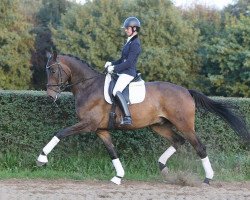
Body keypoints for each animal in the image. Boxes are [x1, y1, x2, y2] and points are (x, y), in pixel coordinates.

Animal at [36, 51, 249, 184]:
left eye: (52, 70)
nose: (50, 96)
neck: (88, 86)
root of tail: (186, 91)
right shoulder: (101, 129)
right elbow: (112, 151)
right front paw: (119, 176)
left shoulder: (88, 124)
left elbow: (61, 132)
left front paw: (41, 158)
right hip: (159, 125)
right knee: (177, 141)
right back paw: (163, 168)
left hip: (185, 124)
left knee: (199, 147)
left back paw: (208, 178)